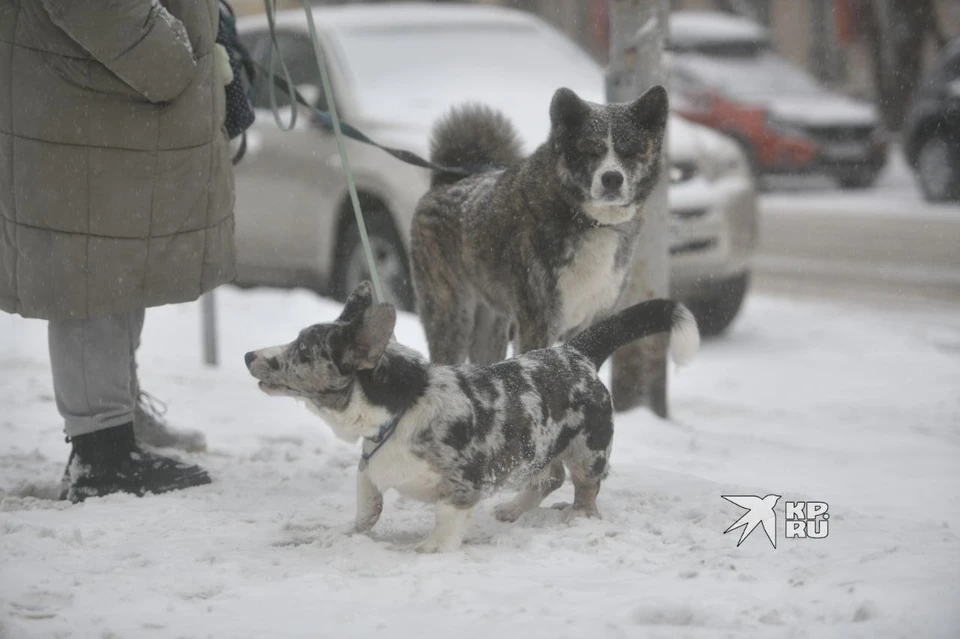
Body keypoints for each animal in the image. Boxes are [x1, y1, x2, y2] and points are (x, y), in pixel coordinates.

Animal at [410, 85, 668, 364]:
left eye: (630, 151)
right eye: (591, 151)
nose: (612, 178)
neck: (591, 222)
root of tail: (446, 181)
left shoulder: (596, 318)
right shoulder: (538, 322)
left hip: (491, 322)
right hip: (452, 317)